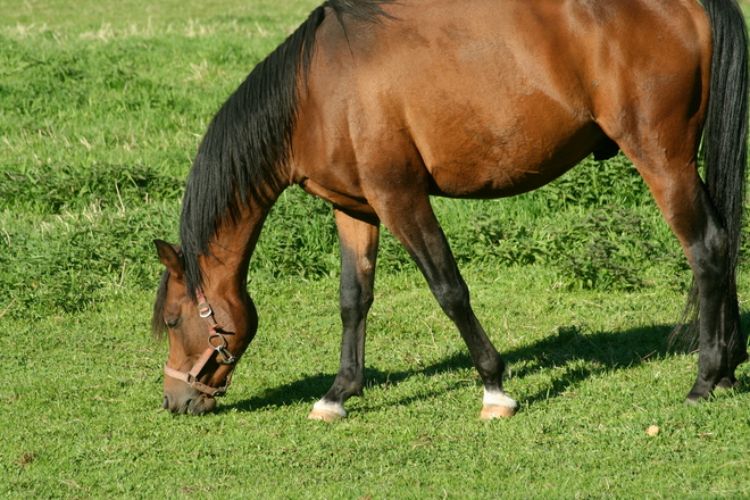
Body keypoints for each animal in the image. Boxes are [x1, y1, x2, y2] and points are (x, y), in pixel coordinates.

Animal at [151, 0, 748, 420]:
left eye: (175, 320)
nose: (175, 400)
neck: (316, 93)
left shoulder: (401, 198)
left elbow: (449, 290)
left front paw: (494, 388)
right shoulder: (356, 209)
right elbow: (353, 299)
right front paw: (338, 393)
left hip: (660, 157)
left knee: (705, 249)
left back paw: (703, 380)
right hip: (683, 160)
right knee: (723, 241)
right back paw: (727, 369)